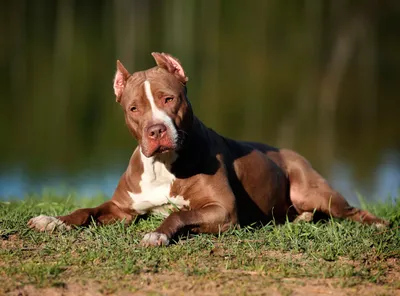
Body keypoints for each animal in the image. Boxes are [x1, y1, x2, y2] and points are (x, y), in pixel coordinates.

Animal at [27, 52, 388, 245]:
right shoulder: (122, 209)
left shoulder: (223, 210)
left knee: (350, 211)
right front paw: (52, 220)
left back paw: (378, 225)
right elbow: (85, 210)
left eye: (168, 99)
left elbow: (180, 215)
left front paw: (157, 234)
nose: (156, 130)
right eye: (133, 108)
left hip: (312, 190)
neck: (163, 165)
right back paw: (300, 220)